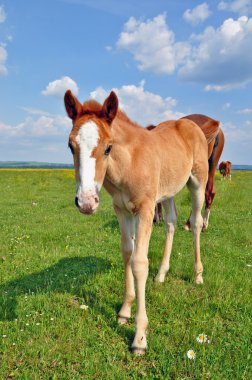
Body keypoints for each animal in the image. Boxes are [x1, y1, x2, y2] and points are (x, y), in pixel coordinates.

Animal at [64, 90, 218, 354]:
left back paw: (198, 275)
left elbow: (139, 262)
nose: (86, 202)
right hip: (167, 191)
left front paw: (139, 337)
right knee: (170, 222)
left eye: (108, 147)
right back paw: (162, 274)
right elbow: (127, 252)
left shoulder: (144, 210)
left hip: (198, 181)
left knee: (196, 223)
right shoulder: (122, 210)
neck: (129, 163)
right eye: (70, 145)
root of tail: (191, 124)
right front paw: (125, 311)